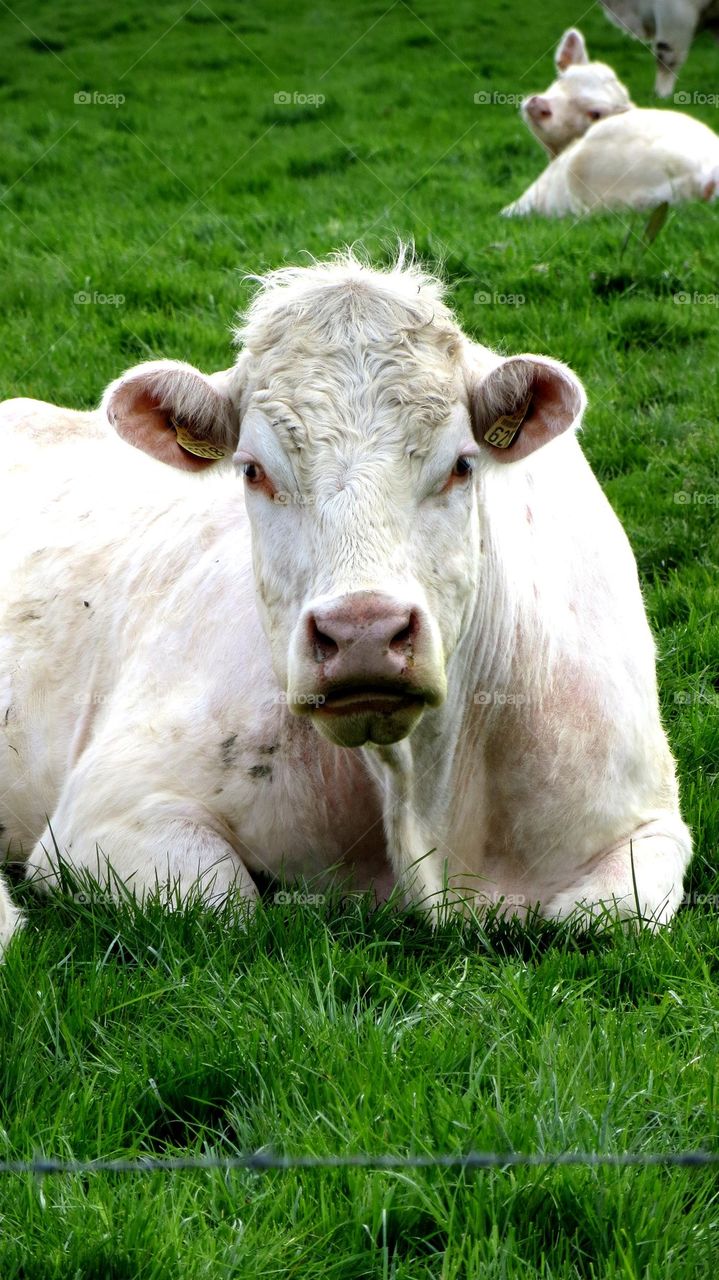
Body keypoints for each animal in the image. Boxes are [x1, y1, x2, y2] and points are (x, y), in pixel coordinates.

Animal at [0, 250, 692, 956]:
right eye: (252, 469)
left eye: (462, 464)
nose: (364, 633)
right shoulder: (103, 814)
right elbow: (231, 904)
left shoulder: (650, 822)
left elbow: (607, 916)